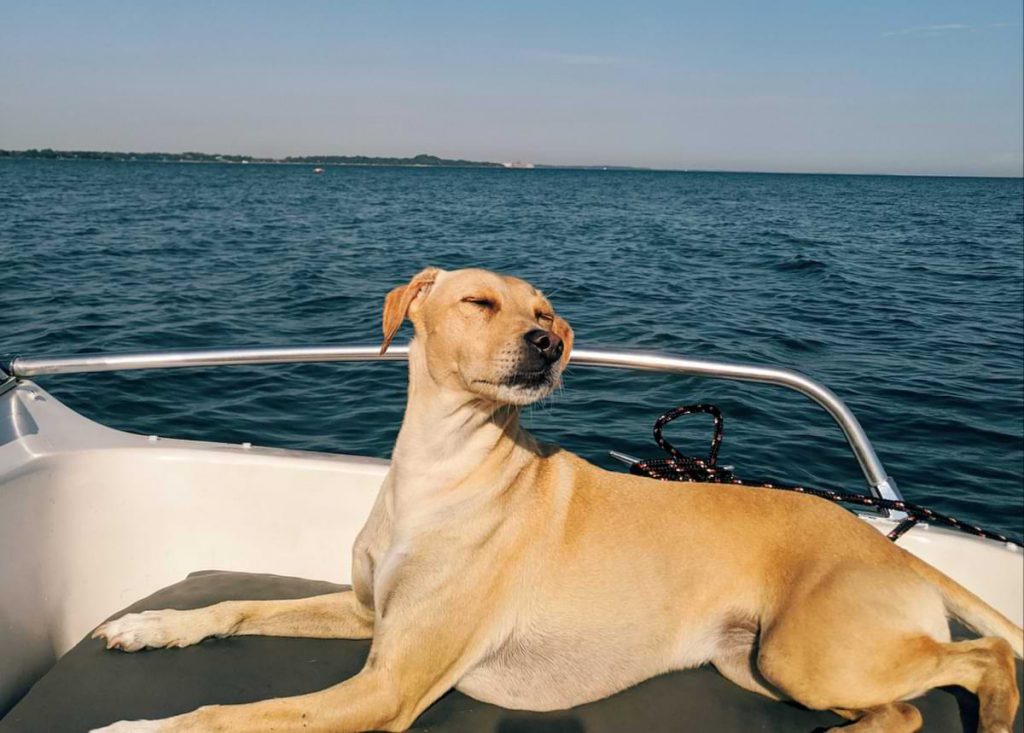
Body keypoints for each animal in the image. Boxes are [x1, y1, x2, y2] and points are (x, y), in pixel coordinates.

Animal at [92, 268, 1019, 733]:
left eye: (546, 311)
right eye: (479, 300)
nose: (548, 343)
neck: (444, 470)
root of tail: (886, 544)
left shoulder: (388, 685)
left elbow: (226, 713)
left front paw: (131, 728)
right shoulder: (367, 615)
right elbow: (236, 606)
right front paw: (153, 623)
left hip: (811, 654)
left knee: (982, 660)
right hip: (758, 664)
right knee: (902, 712)